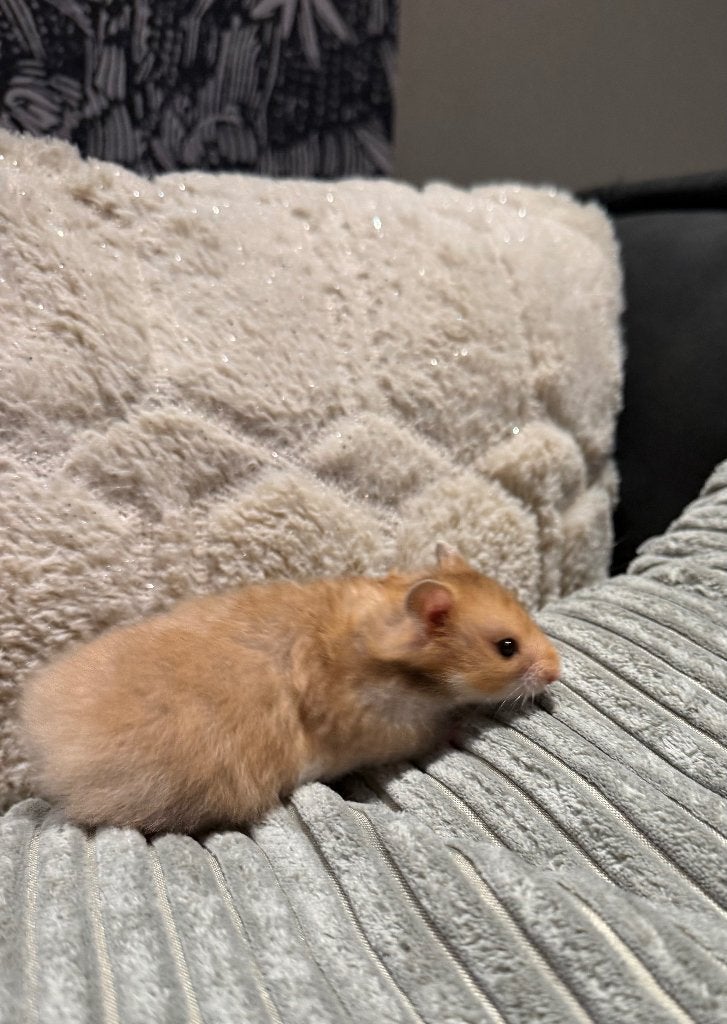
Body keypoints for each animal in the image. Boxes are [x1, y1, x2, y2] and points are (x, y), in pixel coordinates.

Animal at [21, 543, 560, 834]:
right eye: (506, 647)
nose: (558, 671)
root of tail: (52, 745)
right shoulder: (388, 729)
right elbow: (436, 729)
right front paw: (464, 721)